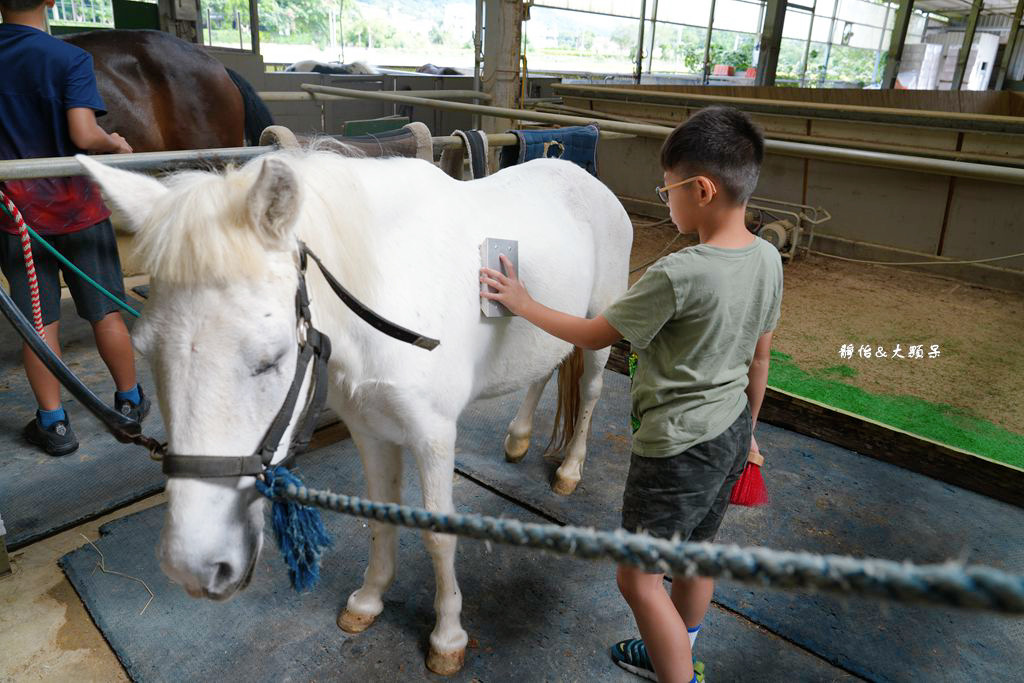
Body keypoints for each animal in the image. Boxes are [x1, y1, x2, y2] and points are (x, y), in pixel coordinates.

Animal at [79, 147, 626, 675]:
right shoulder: (371, 430)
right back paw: (518, 439)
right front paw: (368, 601)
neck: (386, 295)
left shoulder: (433, 435)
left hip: (600, 335)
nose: (192, 566)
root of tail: (585, 178)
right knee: (541, 374)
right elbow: (381, 516)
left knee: (591, 395)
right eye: (145, 350)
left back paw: (570, 471)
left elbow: (439, 534)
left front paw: (448, 637)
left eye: (272, 357)